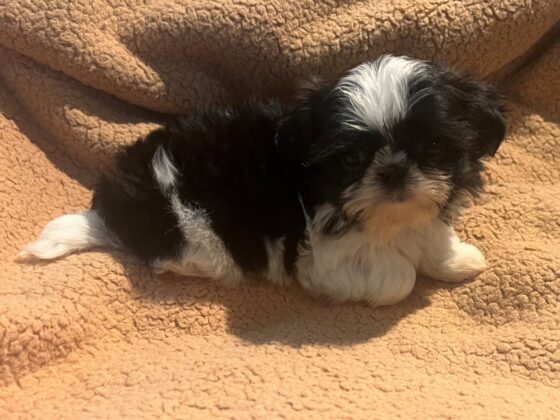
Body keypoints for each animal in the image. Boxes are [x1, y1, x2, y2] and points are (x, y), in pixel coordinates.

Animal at [21, 55, 506, 306]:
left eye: (433, 148)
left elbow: (432, 240)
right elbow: (398, 278)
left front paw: (458, 260)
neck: (388, 221)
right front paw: (408, 275)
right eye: (351, 159)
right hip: (194, 227)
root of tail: (117, 207)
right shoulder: (322, 257)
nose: (393, 170)